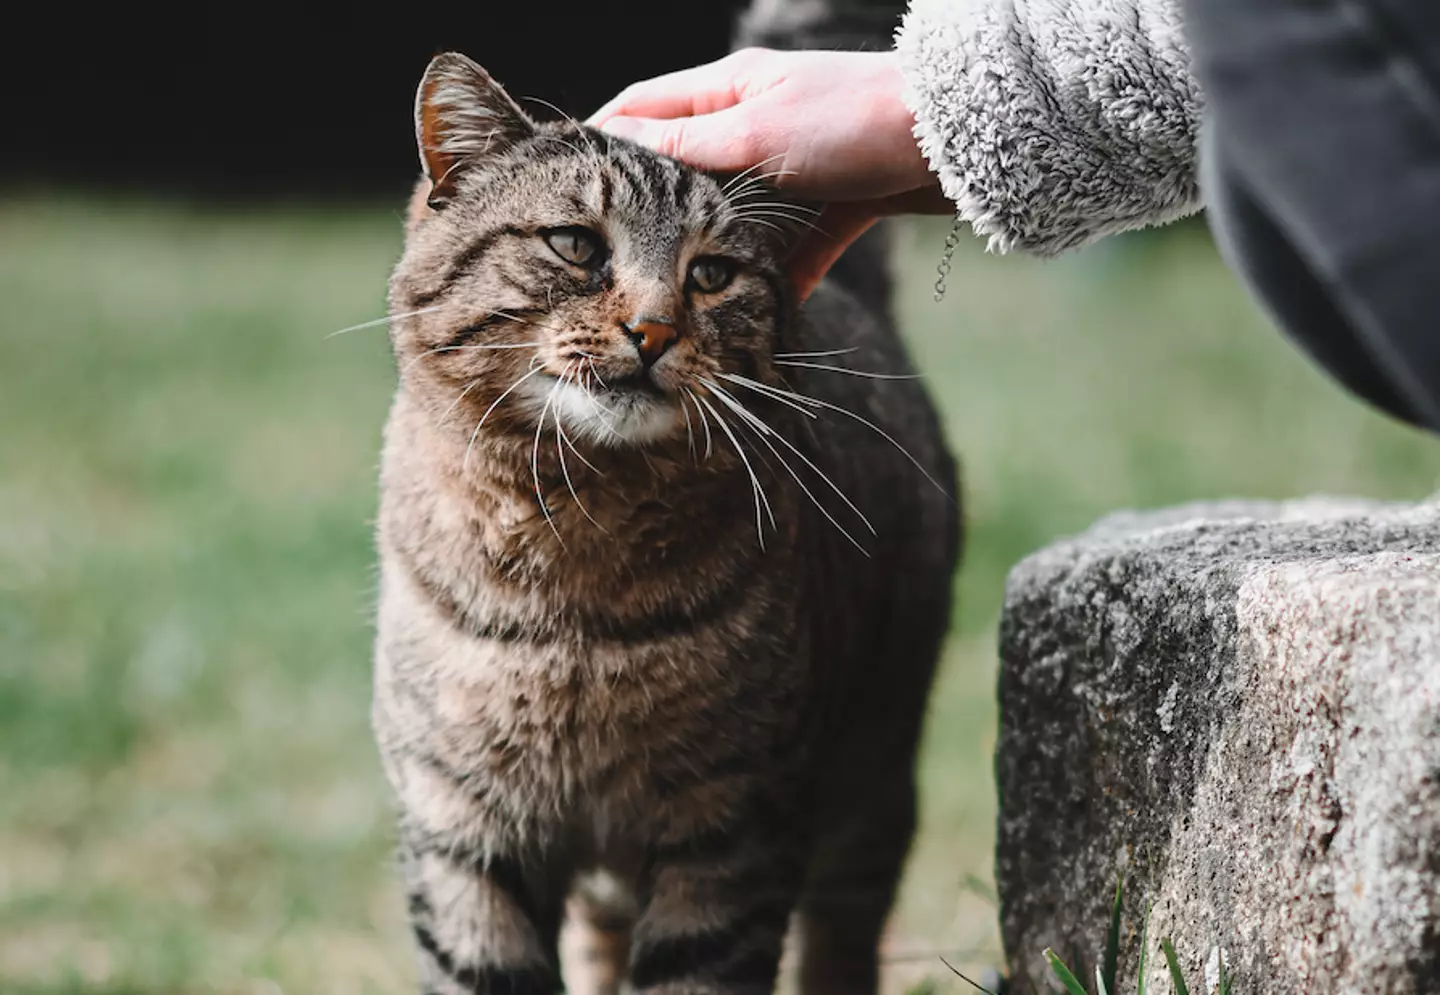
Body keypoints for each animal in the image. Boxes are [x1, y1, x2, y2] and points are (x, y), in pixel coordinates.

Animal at [371, 52, 961, 995]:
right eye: (576, 244)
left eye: (711, 274)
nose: (651, 330)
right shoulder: (461, 827)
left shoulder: (731, 831)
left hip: (873, 781)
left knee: (842, 937)